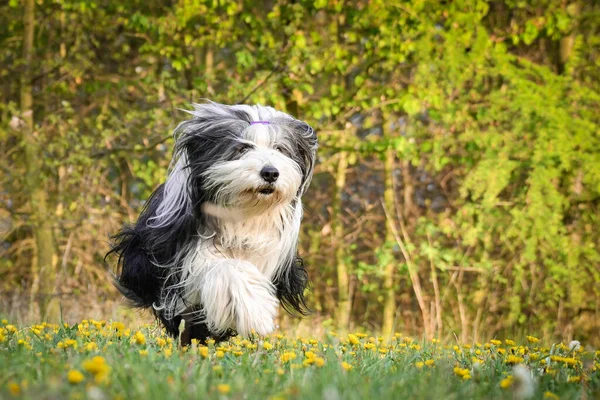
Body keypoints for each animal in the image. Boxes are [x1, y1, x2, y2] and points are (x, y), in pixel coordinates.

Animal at [106, 101, 318, 346]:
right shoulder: (180, 260)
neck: (244, 213)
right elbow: (225, 268)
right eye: (242, 148)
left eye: (280, 149)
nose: (271, 173)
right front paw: (256, 314)